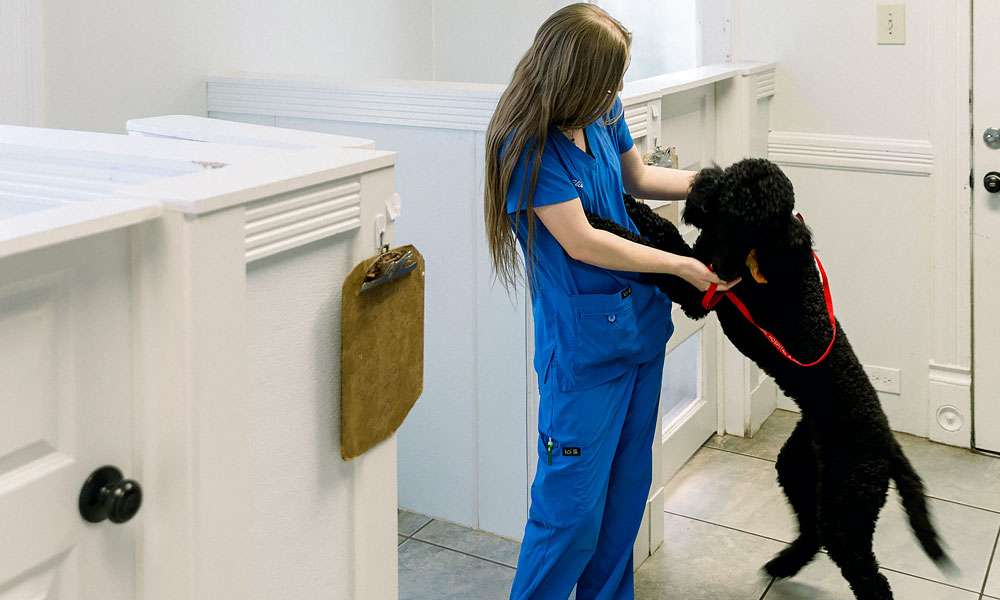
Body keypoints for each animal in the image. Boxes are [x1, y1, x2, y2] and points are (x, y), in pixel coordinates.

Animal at [588, 159, 948, 600]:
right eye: (735, 174)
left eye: (738, 198)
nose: (701, 183)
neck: (760, 248)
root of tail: (889, 445)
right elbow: (660, 230)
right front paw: (626, 200)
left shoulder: (698, 291)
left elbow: (658, 248)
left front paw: (600, 220)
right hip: (798, 468)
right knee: (812, 532)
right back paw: (784, 562)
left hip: (847, 507)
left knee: (869, 576)